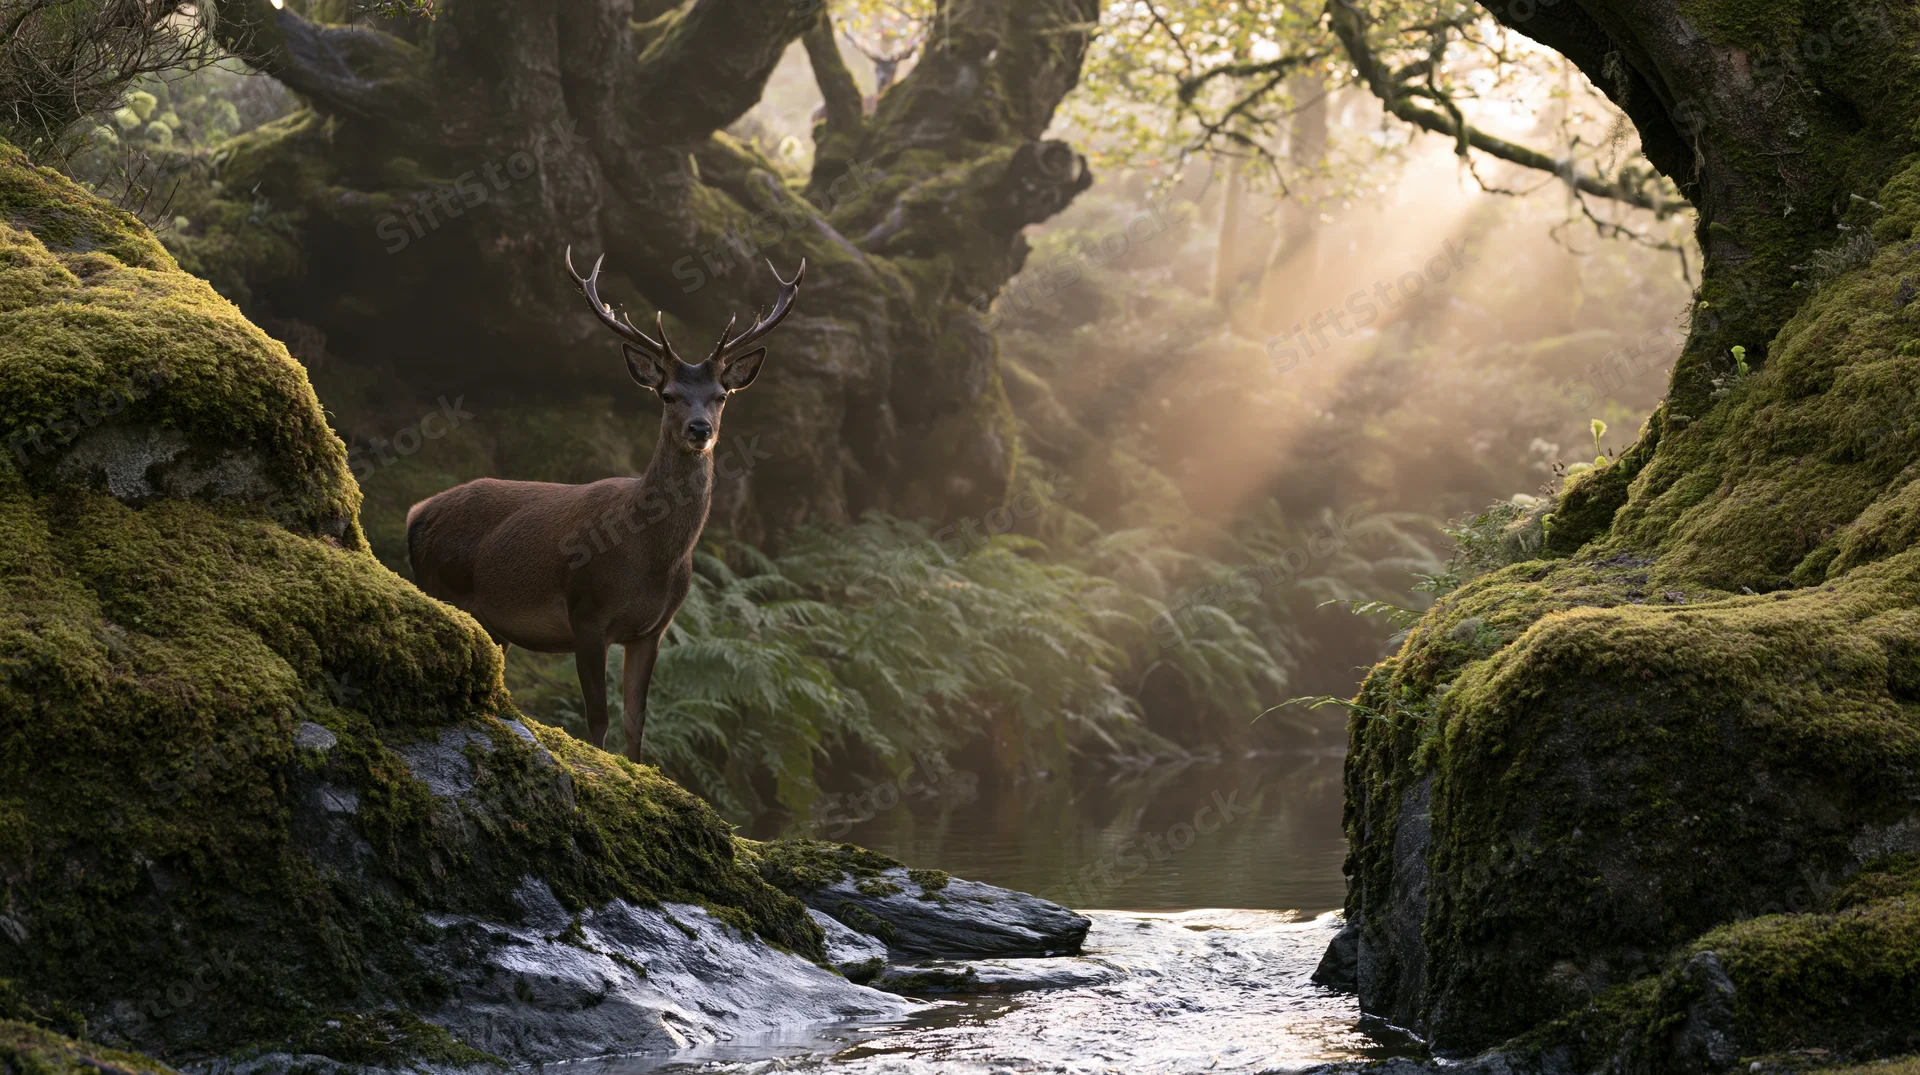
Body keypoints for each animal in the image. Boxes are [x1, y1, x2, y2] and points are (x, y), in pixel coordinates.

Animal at [405, 250, 804, 763]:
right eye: (668, 395)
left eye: (720, 396)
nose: (699, 429)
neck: (649, 559)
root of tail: (417, 512)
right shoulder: (586, 613)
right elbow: (599, 719)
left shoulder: (653, 629)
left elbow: (637, 722)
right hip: (439, 584)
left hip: (491, 623)